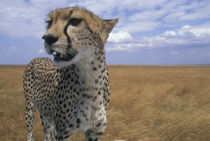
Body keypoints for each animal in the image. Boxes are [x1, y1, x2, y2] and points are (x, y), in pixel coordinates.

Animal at [23, 6, 118, 141]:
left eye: (75, 21)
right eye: (49, 22)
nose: (48, 38)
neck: (91, 79)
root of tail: (36, 58)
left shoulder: (94, 132)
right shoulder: (62, 132)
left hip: (46, 115)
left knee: (47, 134)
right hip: (30, 107)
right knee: (30, 134)